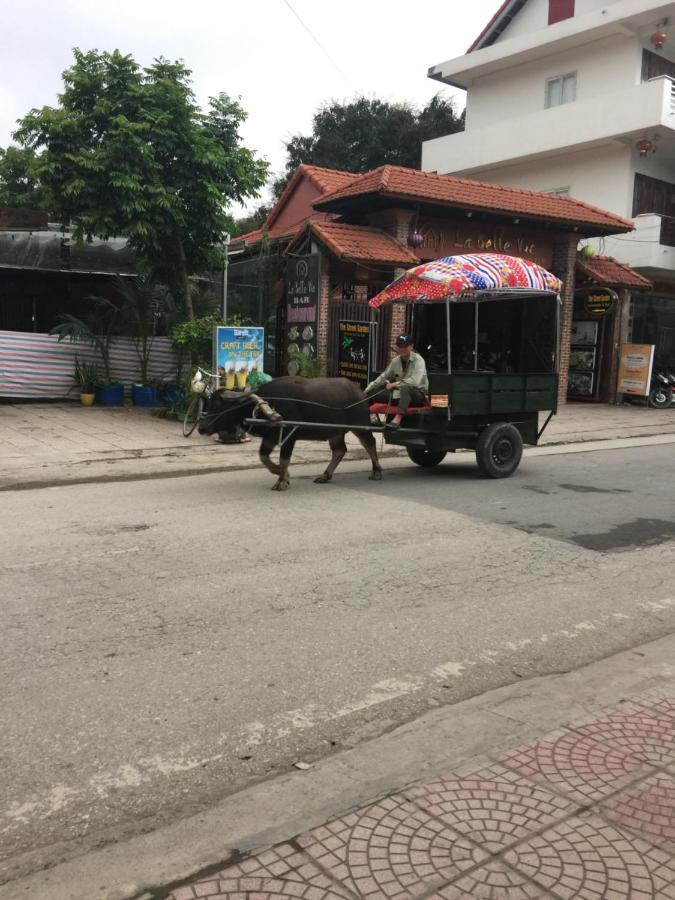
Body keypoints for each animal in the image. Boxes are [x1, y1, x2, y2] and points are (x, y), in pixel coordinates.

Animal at [198, 378, 382, 492]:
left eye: (217, 406)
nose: (201, 428)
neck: (270, 404)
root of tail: (360, 392)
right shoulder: (270, 437)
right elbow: (263, 457)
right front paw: (282, 473)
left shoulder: (289, 435)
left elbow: (284, 459)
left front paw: (281, 481)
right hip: (335, 432)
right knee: (339, 450)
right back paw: (325, 475)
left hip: (360, 426)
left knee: (370, 443)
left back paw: (377, 471)